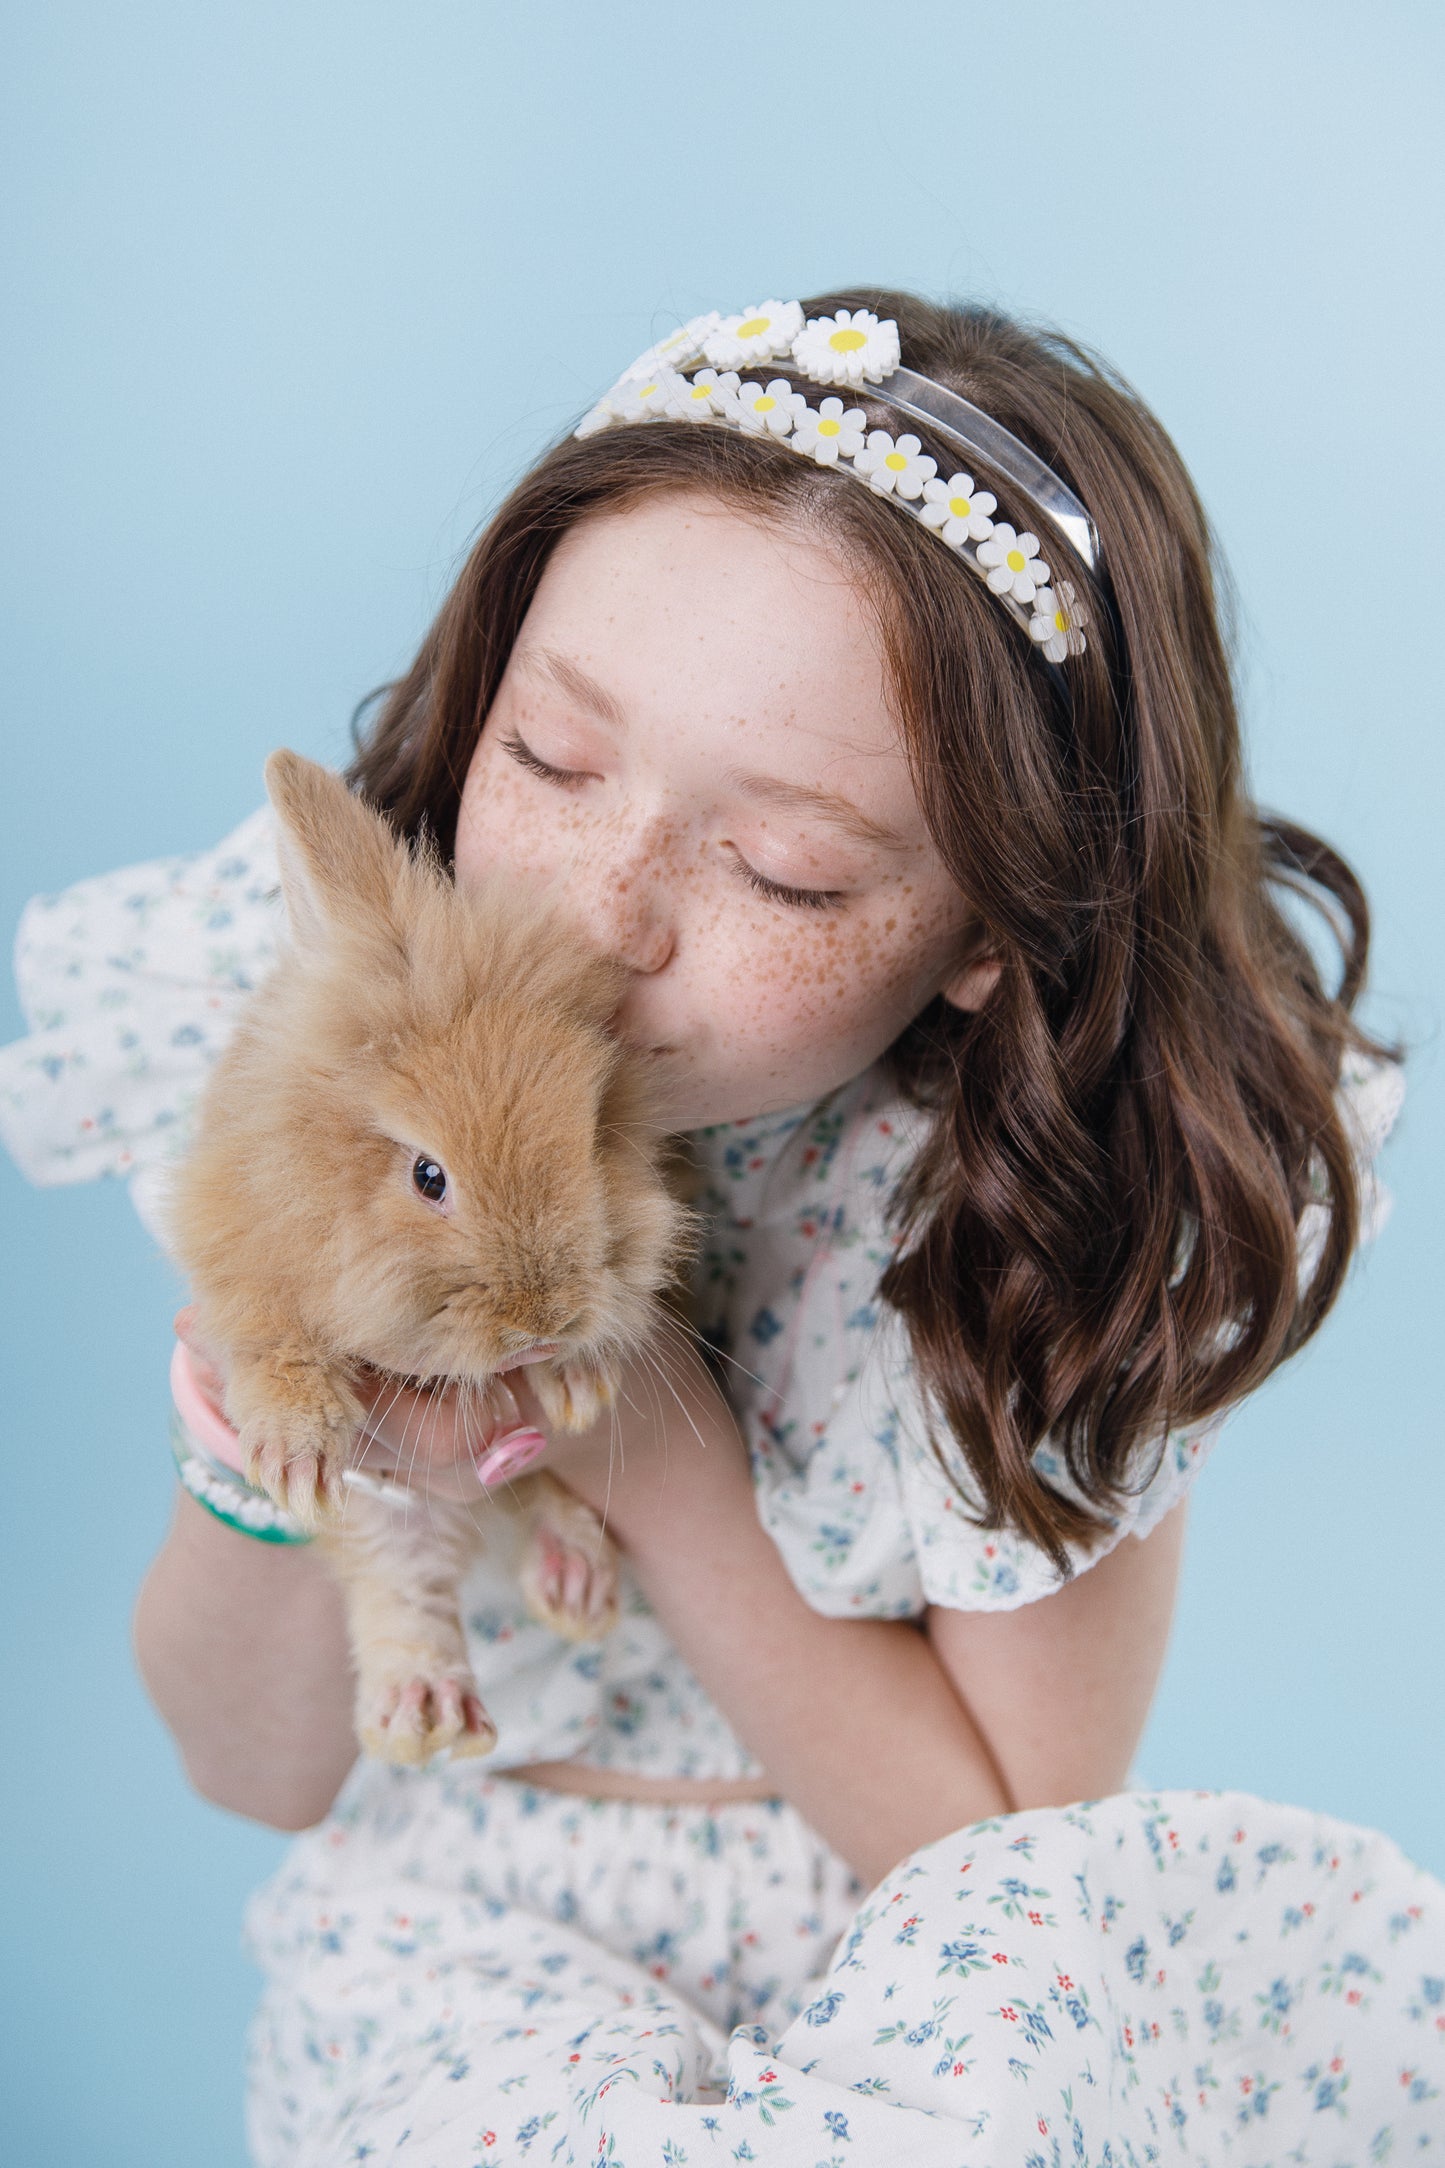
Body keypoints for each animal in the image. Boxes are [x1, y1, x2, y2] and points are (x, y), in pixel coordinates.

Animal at [170, 754, 688, 1769]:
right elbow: (273, 1350)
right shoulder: (239, 1261)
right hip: (397, 1520)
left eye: (594, 1135)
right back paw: (424, 1715)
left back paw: (574, 1583)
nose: (543, 1322)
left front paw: (578, 1381)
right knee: (401, 1581)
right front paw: (296, 1456)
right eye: (428, 1175)